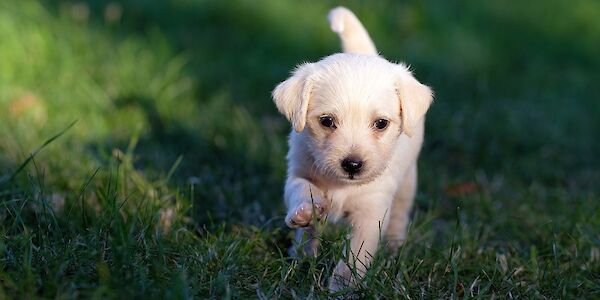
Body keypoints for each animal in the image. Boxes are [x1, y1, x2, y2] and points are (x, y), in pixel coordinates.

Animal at [270, 5, 432, 290]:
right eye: (327, 121)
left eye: (381, 123)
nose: (353, 165)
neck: (341, 186)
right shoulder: (298, 172)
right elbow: (301, 191)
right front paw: (305, 212)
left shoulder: (371, 210)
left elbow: (357, 252)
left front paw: (343, 285)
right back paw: (301, 254)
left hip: (408, 182)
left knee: (400, 215)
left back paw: (394, 247)